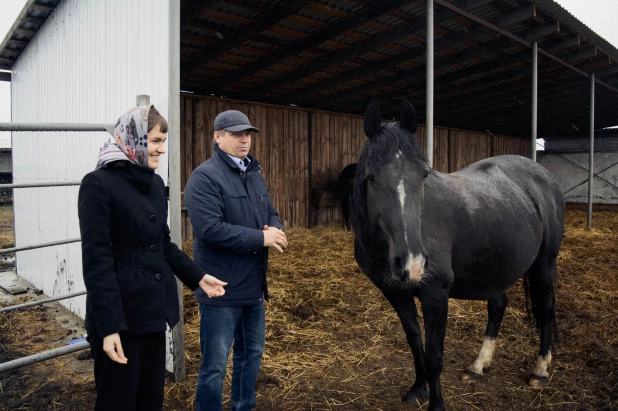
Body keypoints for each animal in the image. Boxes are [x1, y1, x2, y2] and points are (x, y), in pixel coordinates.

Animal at [352, 100, 564, 411]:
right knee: (498, 305)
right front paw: (418, 388)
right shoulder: (394, 292)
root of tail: (543, 176)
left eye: (423, 175)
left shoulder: (436, 295)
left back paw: (540, 371)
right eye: (371, 177)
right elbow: (415, 340)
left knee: (546, 309)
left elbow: (435, 354)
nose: (412, 264)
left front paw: (436, 403)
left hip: (544, 266)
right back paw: (477, 367)